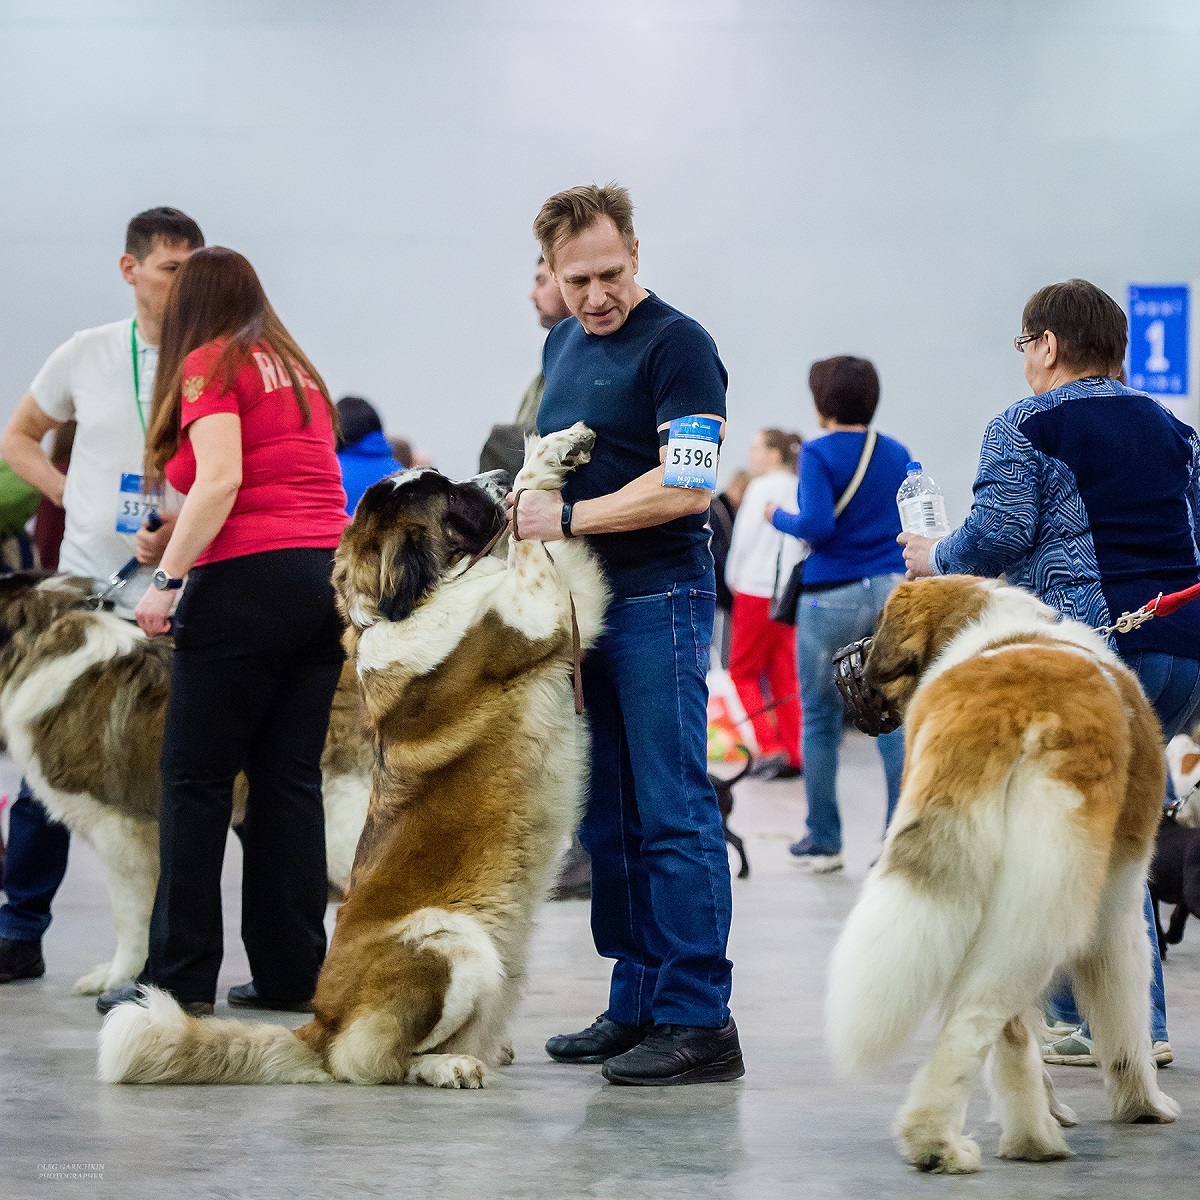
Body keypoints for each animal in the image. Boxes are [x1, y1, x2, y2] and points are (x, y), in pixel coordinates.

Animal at [96, 427, 609, 1094]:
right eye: (449, 494)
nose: (491, 475)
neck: (418, 601)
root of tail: (320, 1023)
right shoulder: (536, 611)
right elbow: (532, 545)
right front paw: (540, 464)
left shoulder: (563, 604)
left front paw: (557, 450)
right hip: (449, 943)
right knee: (376, 1062)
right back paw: (448, 1066)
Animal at [825, 571, 1180, 1171]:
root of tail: (1002, 706)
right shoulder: (1121, 906)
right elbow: (1125, 1014)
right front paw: (1143, 1104)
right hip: (1047, 900)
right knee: (983, 1014)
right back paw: (980, 1141)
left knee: (998, 1021)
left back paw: (1014, 1129)